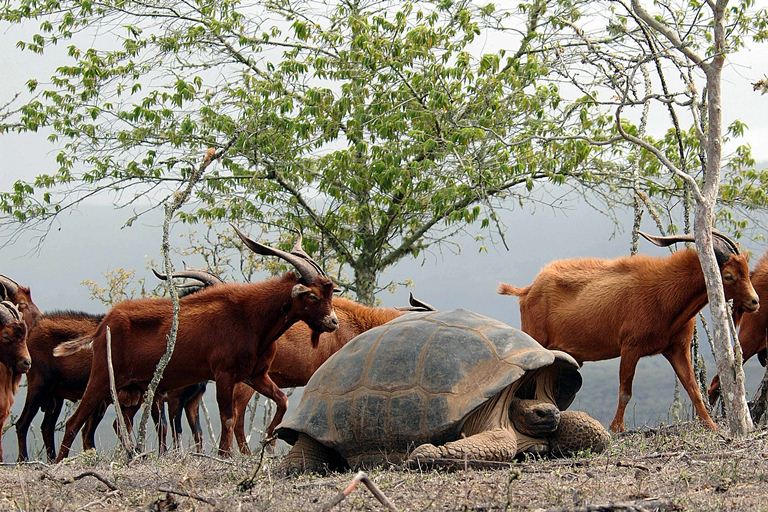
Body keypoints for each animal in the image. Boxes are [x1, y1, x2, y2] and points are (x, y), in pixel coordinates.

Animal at [54, 230, 340, 462]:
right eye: (313, 296)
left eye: (329, 293)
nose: (333, 322)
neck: (251, 317)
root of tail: (104, 324)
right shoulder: (224, 374)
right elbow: (228, 417)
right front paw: (225, 456)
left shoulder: (255, 375)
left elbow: (282, 400)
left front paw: (269, 438)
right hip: (102, 378)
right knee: (73, 422)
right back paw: (59, 463)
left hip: (134, 388)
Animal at [500, 232, 760, 432]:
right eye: (728, 276)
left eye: (747, 271)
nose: (754, 301)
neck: (665, 293)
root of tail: (527, 290)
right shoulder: (630, 347)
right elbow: (625, 391)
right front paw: (616, 429)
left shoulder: (677, 348)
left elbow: (693, 387)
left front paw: (711, 426)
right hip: (535, 339)